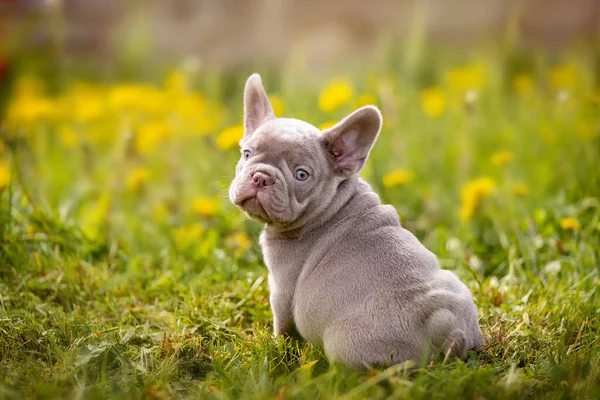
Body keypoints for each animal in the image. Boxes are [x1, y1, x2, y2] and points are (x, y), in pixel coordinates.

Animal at [227, 72, 486, 368]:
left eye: (301, 175)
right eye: (246, 154)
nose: (261, 176)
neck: (331, 206)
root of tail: (446, 329)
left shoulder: (282, 290)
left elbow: (282, 328)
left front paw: (275, 349)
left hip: (346, 345)